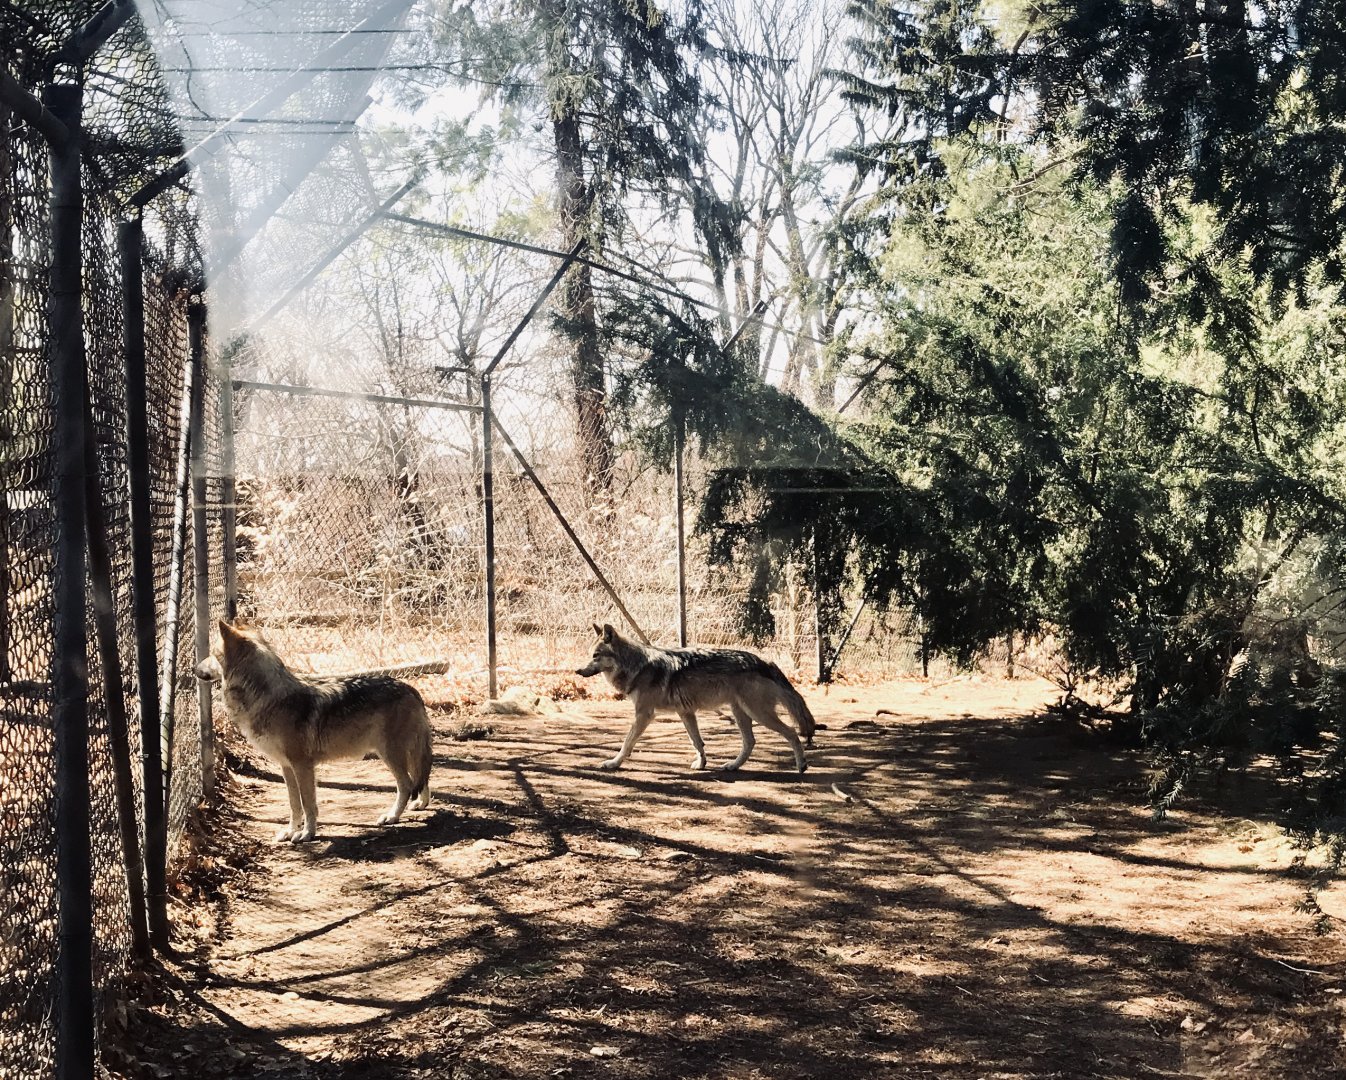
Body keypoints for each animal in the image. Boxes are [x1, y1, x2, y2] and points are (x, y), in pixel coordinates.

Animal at [196, 620, 433, 843]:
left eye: (213, 654)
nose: (194, 669)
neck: (269, 697)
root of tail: (411, 689)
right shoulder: (286, 766)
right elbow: (294, 804)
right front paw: (290, 831)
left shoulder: (303, 765)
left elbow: (308, 804)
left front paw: (307, 834)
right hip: (404, 751)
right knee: (421, 775)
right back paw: (420, 803)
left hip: (389, 754)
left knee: (407, 784)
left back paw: (392, 816)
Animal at [576, 623, 815, 774]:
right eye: (589, 655)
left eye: (596, 656)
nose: (578, 670)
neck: (637, 665)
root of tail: (765, 662)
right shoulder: (685, 712)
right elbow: (697, 741)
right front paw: (701, 763)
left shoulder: (644, 714)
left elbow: (627, 743)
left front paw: (613, 763)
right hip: (741, 713)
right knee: (750, 742)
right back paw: (732, 766)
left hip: (757, 713)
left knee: (791, 732)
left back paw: (801, 765)